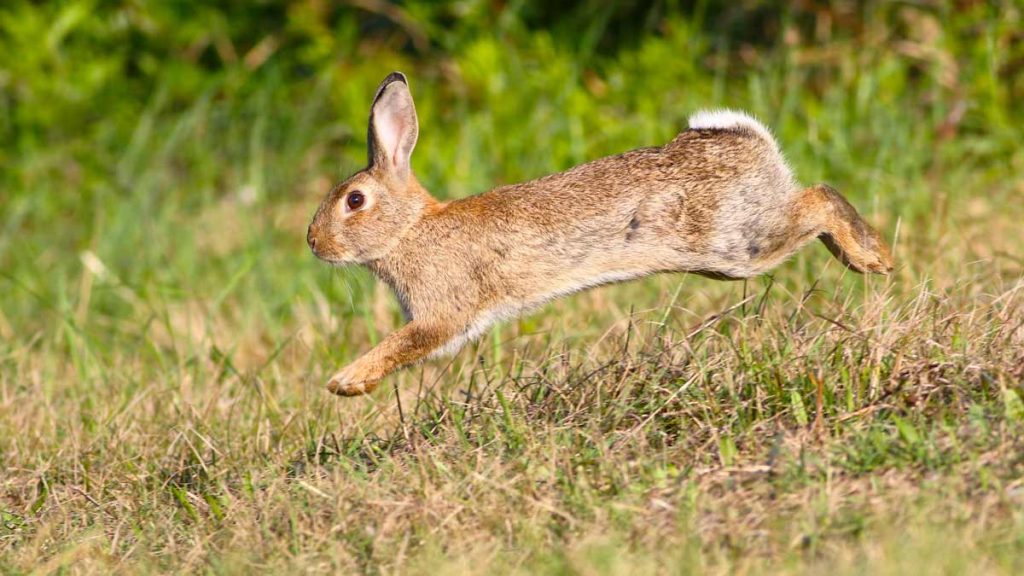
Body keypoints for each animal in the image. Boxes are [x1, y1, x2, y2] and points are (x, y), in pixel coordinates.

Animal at [307, 72, 893, 396]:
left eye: (354, 201)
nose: (314, 244)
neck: (409, 229)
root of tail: (748, 141)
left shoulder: (442, 311)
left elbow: (405, 343)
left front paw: (345, 382)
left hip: (737, 244)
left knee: (818, 199)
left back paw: (872, 258)